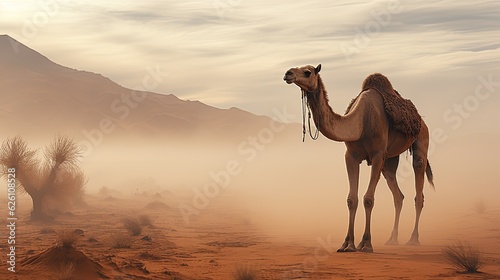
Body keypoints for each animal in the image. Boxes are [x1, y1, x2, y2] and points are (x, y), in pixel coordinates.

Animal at [284, 64, 432, 253]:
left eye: (307, 72)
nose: (288, 73)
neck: (361, 121)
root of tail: (421, 119)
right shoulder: (351, 156)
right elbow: (351, 199)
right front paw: (347, 244)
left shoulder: (377, 156)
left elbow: (368, 199)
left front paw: (366, 244)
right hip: (390, 161)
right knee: (398, 195)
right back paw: (392, 239)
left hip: (421, 140)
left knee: (418, 188)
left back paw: (413, 240)